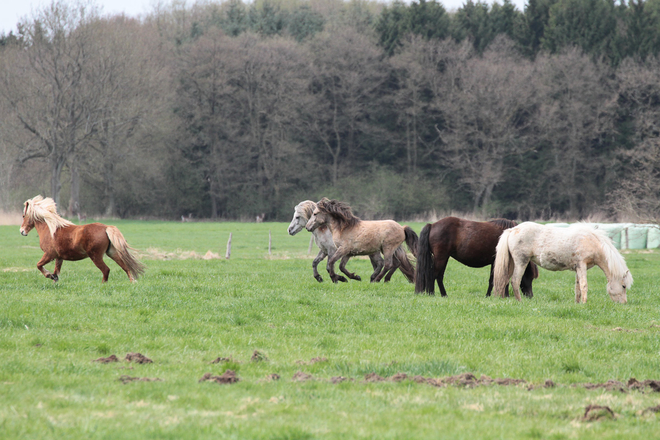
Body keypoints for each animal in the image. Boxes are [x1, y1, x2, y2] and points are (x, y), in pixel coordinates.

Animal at [492, 223, 632, 302]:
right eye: (623, 286)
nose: (624, 303)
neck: (593, 242)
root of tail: (512, 230)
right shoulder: (582, 265)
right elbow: (584, 285)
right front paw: (584, 303)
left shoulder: (578, 268)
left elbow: (577, 288)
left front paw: (577, 303)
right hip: (521, 261)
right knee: (515, 281)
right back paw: (520, 301)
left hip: (511, 263)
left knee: (504, 280)